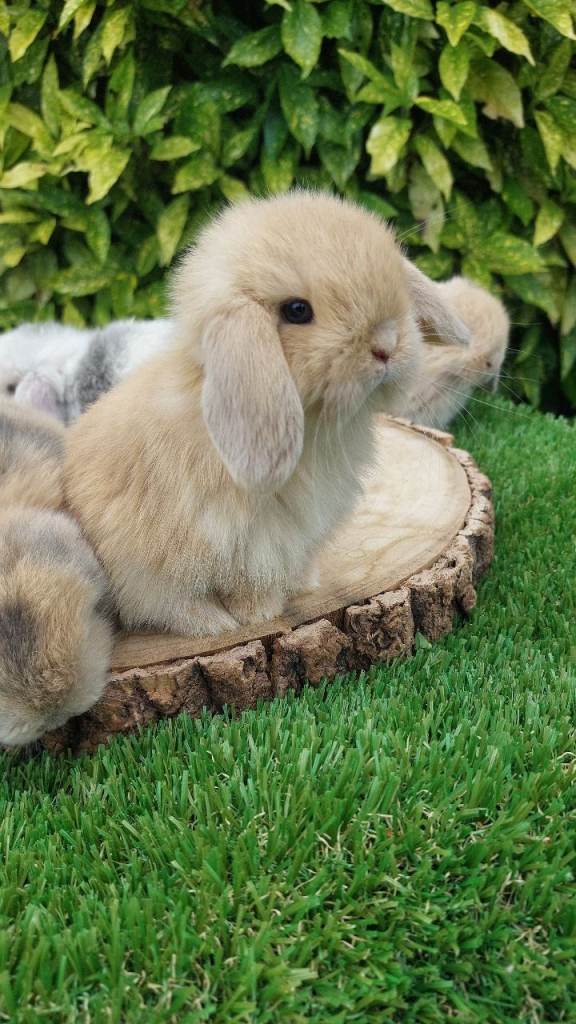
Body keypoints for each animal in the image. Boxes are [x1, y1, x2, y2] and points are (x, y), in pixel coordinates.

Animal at [64, 191, 471, 638]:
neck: (315, 424)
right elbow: (247, 584)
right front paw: (258, 614)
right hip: (142, 564)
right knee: (165, 603)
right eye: (297, 310)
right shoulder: (248, 541)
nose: (386, 345)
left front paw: (304, 584)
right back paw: (214, 623)